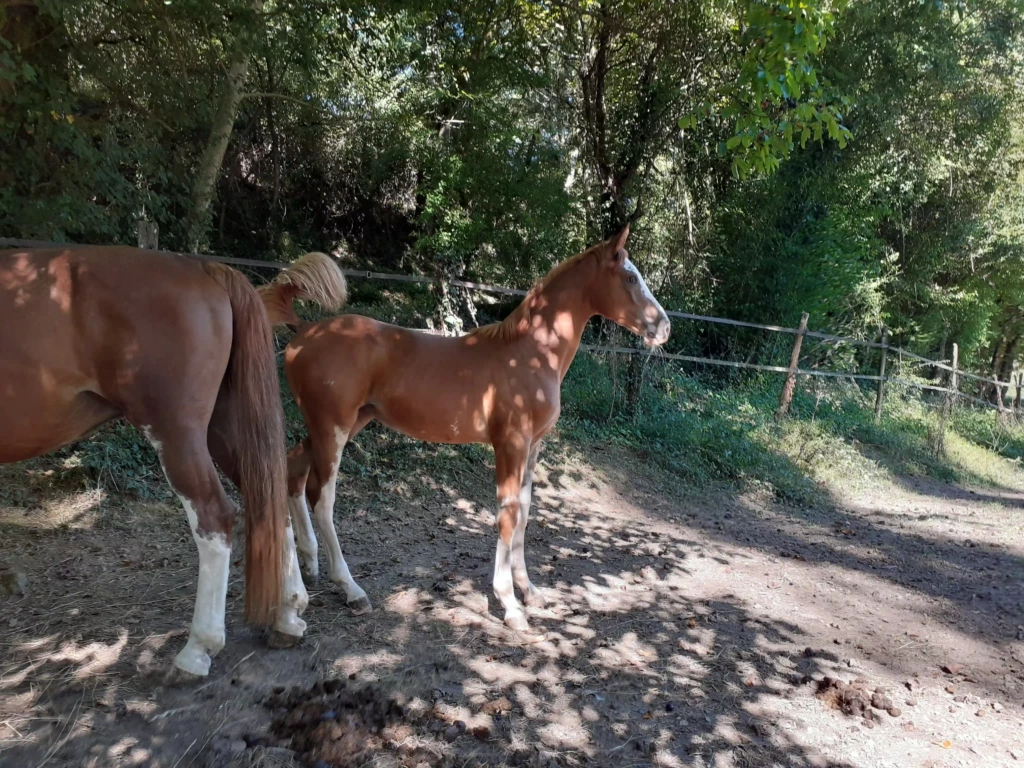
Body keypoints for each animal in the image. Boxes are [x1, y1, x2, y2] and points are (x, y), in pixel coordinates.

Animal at [0, 245, 309, 677]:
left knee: (215, 517)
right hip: (224, 428)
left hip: (176, 433)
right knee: (269, 499)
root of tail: (199, 265)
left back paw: (197, 650)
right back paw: (287, 616)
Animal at [259, 225, 670, 632]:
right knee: (322, 498)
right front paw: (510, 605)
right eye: (630, 277)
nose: (664, 327)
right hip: (334, 427)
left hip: (342, 423)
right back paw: (349, 589)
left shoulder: (533, 447)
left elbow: (525, 512)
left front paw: (530, 591)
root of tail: (306, 330)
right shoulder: (510, 443)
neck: (530, 353)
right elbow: (508, 515)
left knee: (294, 469)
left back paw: (309, 565)